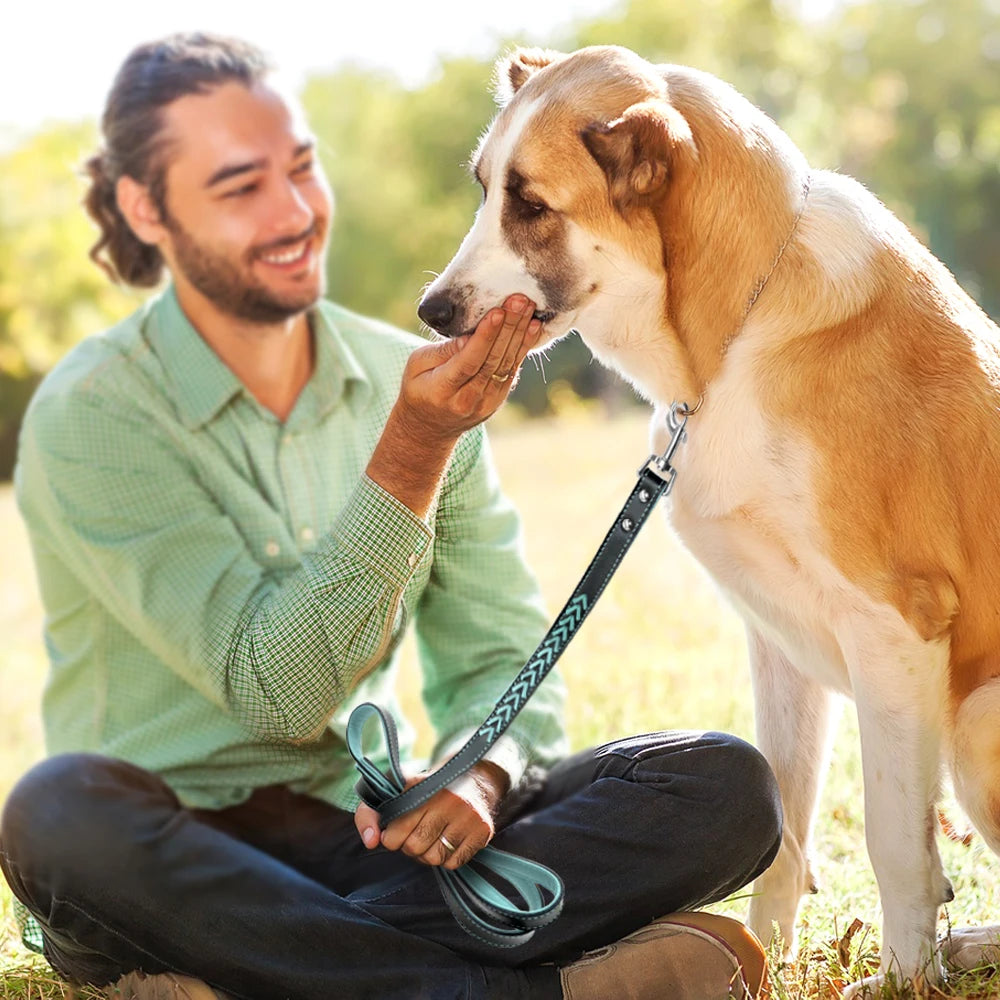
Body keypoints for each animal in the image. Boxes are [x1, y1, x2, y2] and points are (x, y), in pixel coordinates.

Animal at [418, 45, 1000, 992]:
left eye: (531, 204)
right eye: (483, 188)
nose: (431, 313)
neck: (735, 335)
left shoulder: (894, 628)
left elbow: (894, 844)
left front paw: (907, 981)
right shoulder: (783, 648)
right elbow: (786, 830)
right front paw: (762, 967)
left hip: (978, 721)